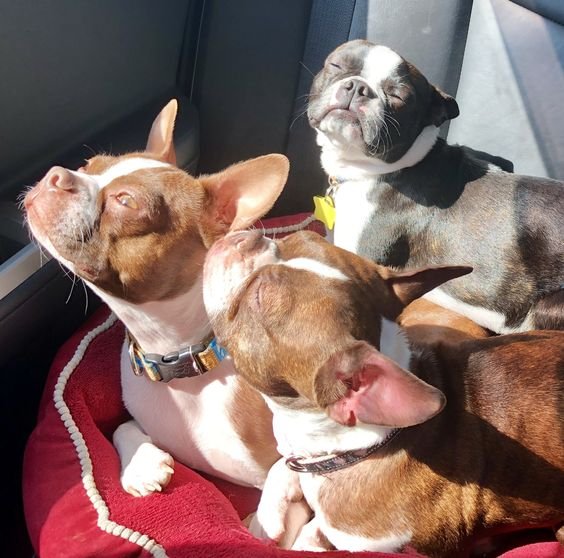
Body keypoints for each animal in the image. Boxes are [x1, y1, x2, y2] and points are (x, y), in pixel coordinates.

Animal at [23, 99, 284, 494]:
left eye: (125, 201)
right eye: (87, 166)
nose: (56, 175)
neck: (178, 364)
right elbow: (120, 426)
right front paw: (140, 464)